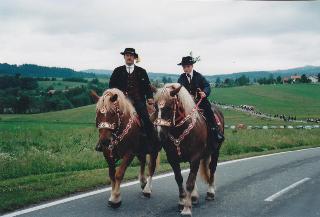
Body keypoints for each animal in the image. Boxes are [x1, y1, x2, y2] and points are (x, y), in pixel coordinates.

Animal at [153, 83, 224, 215]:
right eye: (155, 107)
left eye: (169, 107)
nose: (160, 135)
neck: (180, 129)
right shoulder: (173, 159)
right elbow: (179, 179)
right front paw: (182, 202)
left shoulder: (195, 157)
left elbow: (189, 183)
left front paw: (186, 208)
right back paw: (194, 197)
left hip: (215, 151)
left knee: (212, 169)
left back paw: (210, 192)